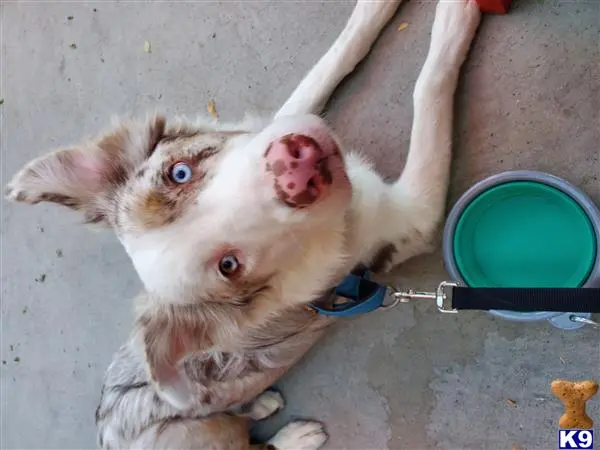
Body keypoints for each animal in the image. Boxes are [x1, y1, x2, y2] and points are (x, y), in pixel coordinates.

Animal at [4, 1, 480, 448]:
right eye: (229, 265)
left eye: (179, 172)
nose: (297, 168)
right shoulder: (412, 218)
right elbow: (428, 90)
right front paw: (453, 21)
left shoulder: (276, 120)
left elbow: (331, 62)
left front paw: (375, 8)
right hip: (205, 435)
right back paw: (297, 436)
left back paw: (263, 403)